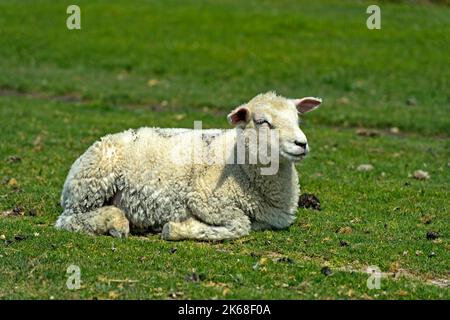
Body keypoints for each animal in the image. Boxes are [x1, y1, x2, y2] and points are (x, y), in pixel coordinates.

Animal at [55, 92, 320, 240]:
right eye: (262, 122)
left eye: (297, 118)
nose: (301, 143)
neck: (242, 168)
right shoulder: (204, 199)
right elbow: (240, 225)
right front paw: (176, 229)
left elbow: (245, 224)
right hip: (91, 184)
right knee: (69, 220)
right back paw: (116, 222)